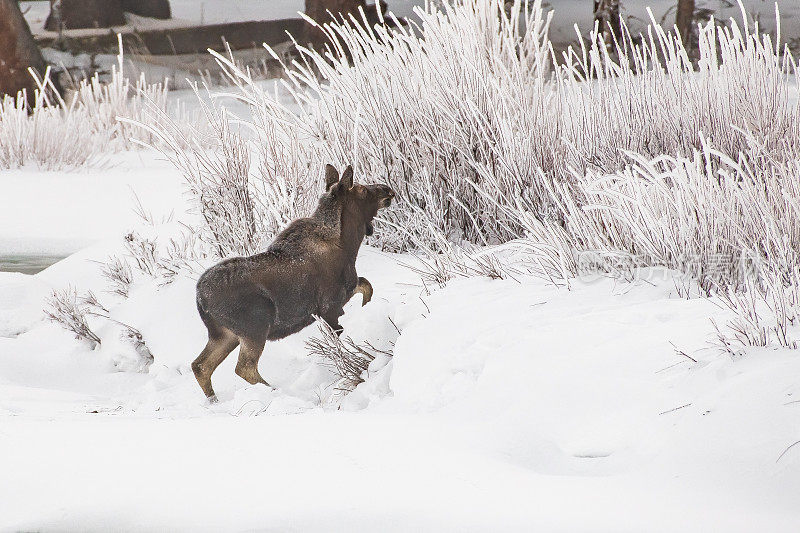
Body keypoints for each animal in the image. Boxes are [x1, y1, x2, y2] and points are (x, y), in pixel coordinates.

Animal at [194, 164, 394, 402]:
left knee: (201, 366)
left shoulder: (347, 290)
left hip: (224, 334)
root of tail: (200, 298)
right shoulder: (330, 307)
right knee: (244, 367)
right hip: (254, 327)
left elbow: (367, 286)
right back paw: (273, 391)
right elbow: (339, 337)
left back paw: (214, 401)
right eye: (362, 189)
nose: (388, 189)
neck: (349, 244)